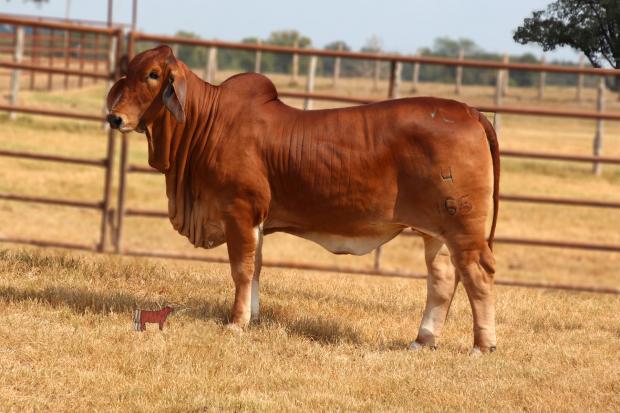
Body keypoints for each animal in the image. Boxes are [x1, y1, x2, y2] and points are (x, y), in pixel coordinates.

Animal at [106, 45, 498, 354]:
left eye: (153, 75)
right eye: (128, 72)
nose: (114, 118)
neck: (207, 124)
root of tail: (471, 111)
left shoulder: (239, 211)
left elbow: (241, 268)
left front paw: (236, 322)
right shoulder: (256, 221)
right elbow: (256, 267)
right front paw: (253, 317)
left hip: (462, 227)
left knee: (477, 274)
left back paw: (482, 345)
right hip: (435, 231)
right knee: (442, 278)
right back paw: (423, 339)